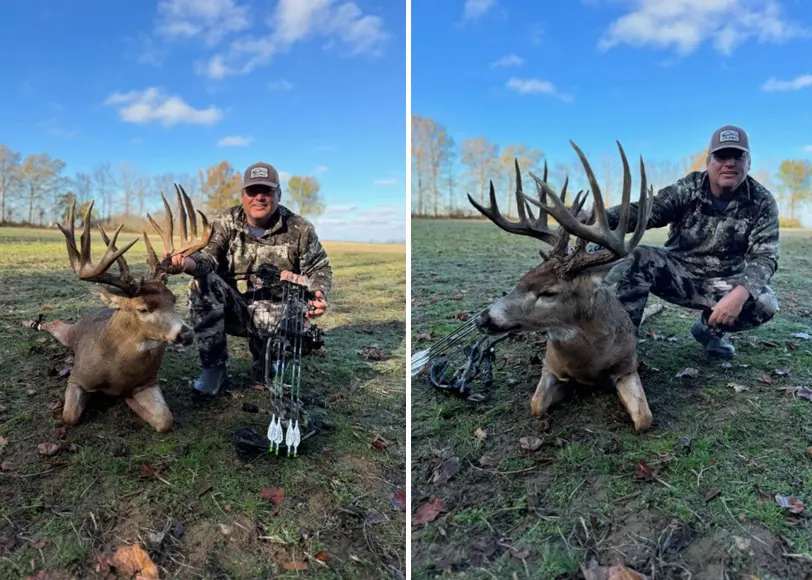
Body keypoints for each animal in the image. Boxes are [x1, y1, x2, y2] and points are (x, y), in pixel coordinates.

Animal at [41, 186, 211, 430]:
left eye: (173, 299)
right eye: (142, 308)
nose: (186, 334)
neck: (117, 369)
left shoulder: (149, 381)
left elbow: (164, 419)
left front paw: (128, 399)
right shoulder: (77, 377)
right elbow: (69, 416)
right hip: (72, 333)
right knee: (57, 324)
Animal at [470, 140, 652, 430]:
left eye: (549, 293)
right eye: (522, 279)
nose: (482, 318)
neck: (589, 364)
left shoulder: (628, 366)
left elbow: (644, 418)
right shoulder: (550, 367)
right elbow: (536, 405)